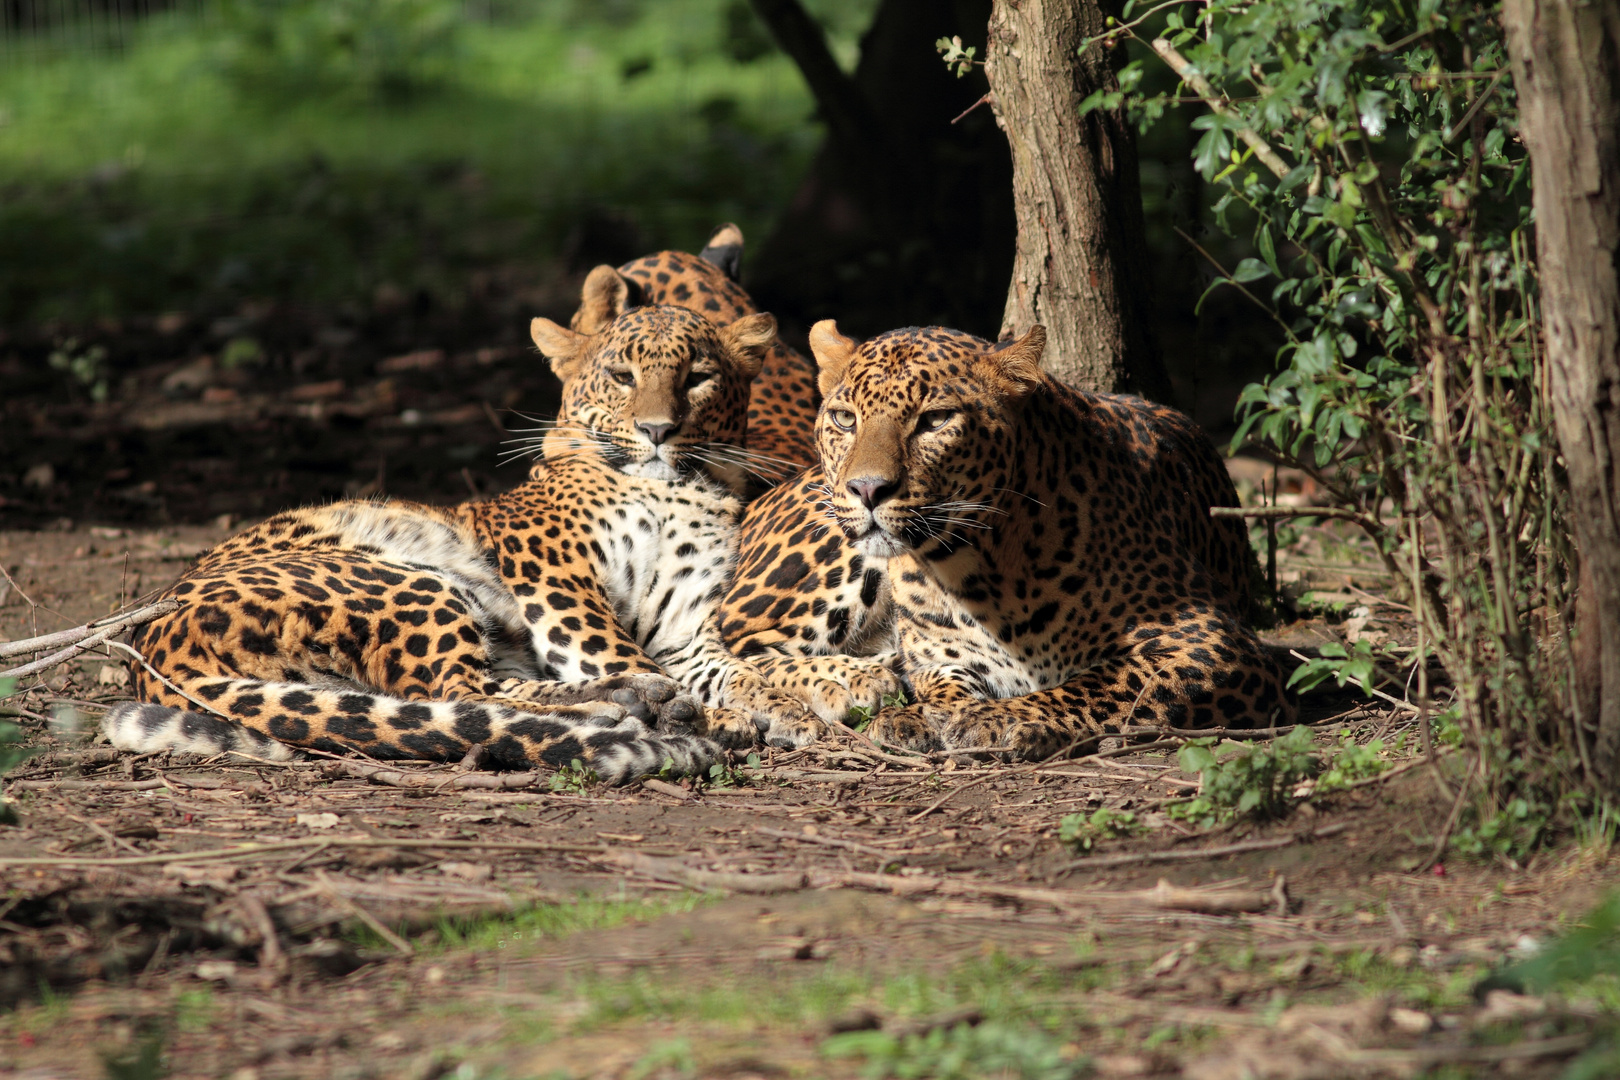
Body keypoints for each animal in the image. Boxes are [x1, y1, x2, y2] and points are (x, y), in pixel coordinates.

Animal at [102, 283, 829, 780]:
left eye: (698, 377)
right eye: (622, 376)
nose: (657, 430)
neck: (682, 489)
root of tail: (150, 645)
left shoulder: (687, 629)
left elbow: (736, 670)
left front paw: (784, 709)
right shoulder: (557, 574)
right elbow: (616, 648)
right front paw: (721, 711)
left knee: (472, 694)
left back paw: (637, 705)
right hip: (408, 580)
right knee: (463, 695)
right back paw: (638, 706)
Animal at [716, 320, 1296, 761]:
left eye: (935, 420)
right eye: (843, 418)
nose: (866, 489)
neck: (972, 566)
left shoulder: (1209, 641)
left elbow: (1106, 681)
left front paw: (995, 719)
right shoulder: (939, 652)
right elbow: (945, 683)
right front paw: (931, 713)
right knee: (728, 643)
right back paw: (849, 683)